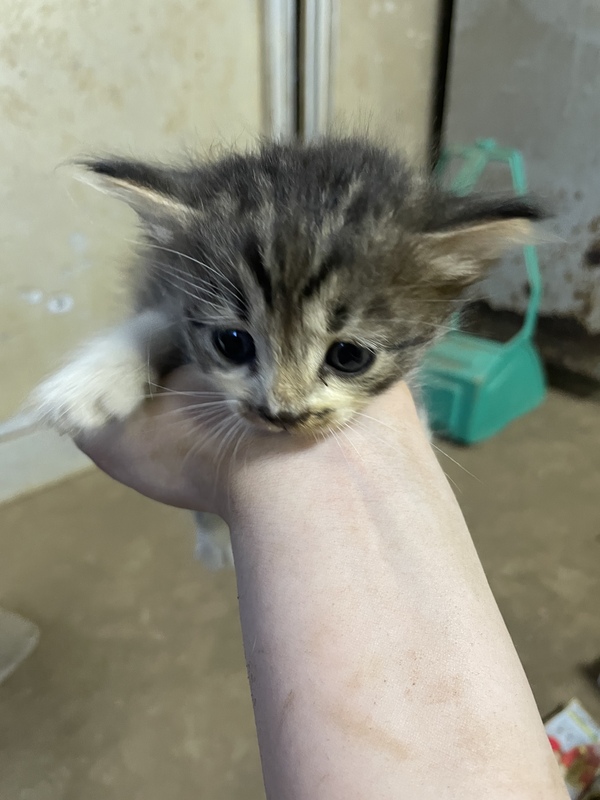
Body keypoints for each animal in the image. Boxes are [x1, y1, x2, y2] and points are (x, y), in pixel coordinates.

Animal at [31, 137, 544, 568]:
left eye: (348, 357)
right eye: (232, 343)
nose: (281, 412)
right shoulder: (164, 288)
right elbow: (160, 320)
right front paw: (90, 382)